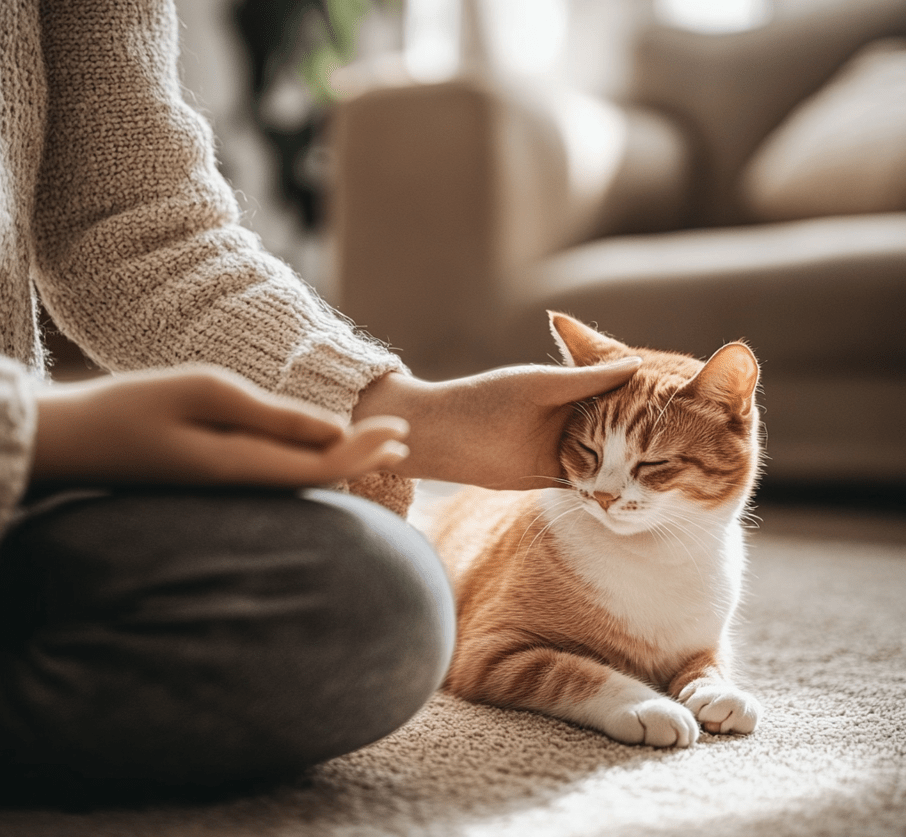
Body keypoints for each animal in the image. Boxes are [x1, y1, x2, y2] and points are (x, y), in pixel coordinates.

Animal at [430, 314, 764, 744]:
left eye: (653, 463)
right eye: (589, 450)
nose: (604, 496)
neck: (651, 554)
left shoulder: (705, 640)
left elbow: (711, 663)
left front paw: (718, 690)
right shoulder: (489, 652)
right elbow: (579, 673)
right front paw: (649, 706)